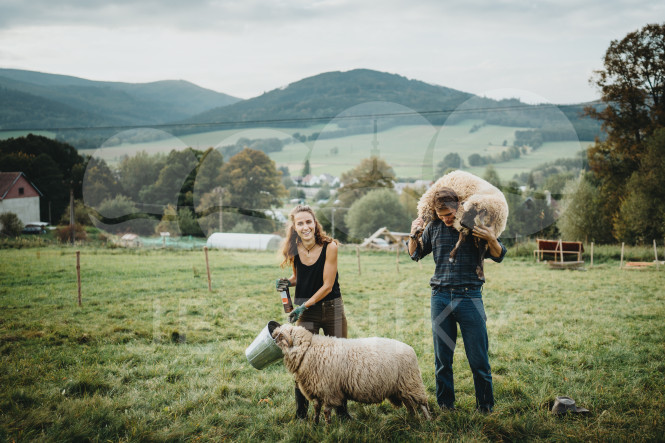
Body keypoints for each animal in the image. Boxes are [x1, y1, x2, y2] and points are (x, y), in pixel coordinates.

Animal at [270, 324, 430, 424]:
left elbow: (326, 412)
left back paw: (428, 421)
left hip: (411, 383)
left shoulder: (329, 391)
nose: (272, 338)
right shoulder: (317, 390)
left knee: (422, 404)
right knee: (410, 405)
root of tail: (410, 349)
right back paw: (411, 419)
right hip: (402, 387)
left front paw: (327, 429)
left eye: (280, 336)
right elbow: (316, 409)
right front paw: (315, 425)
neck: (308, 349)